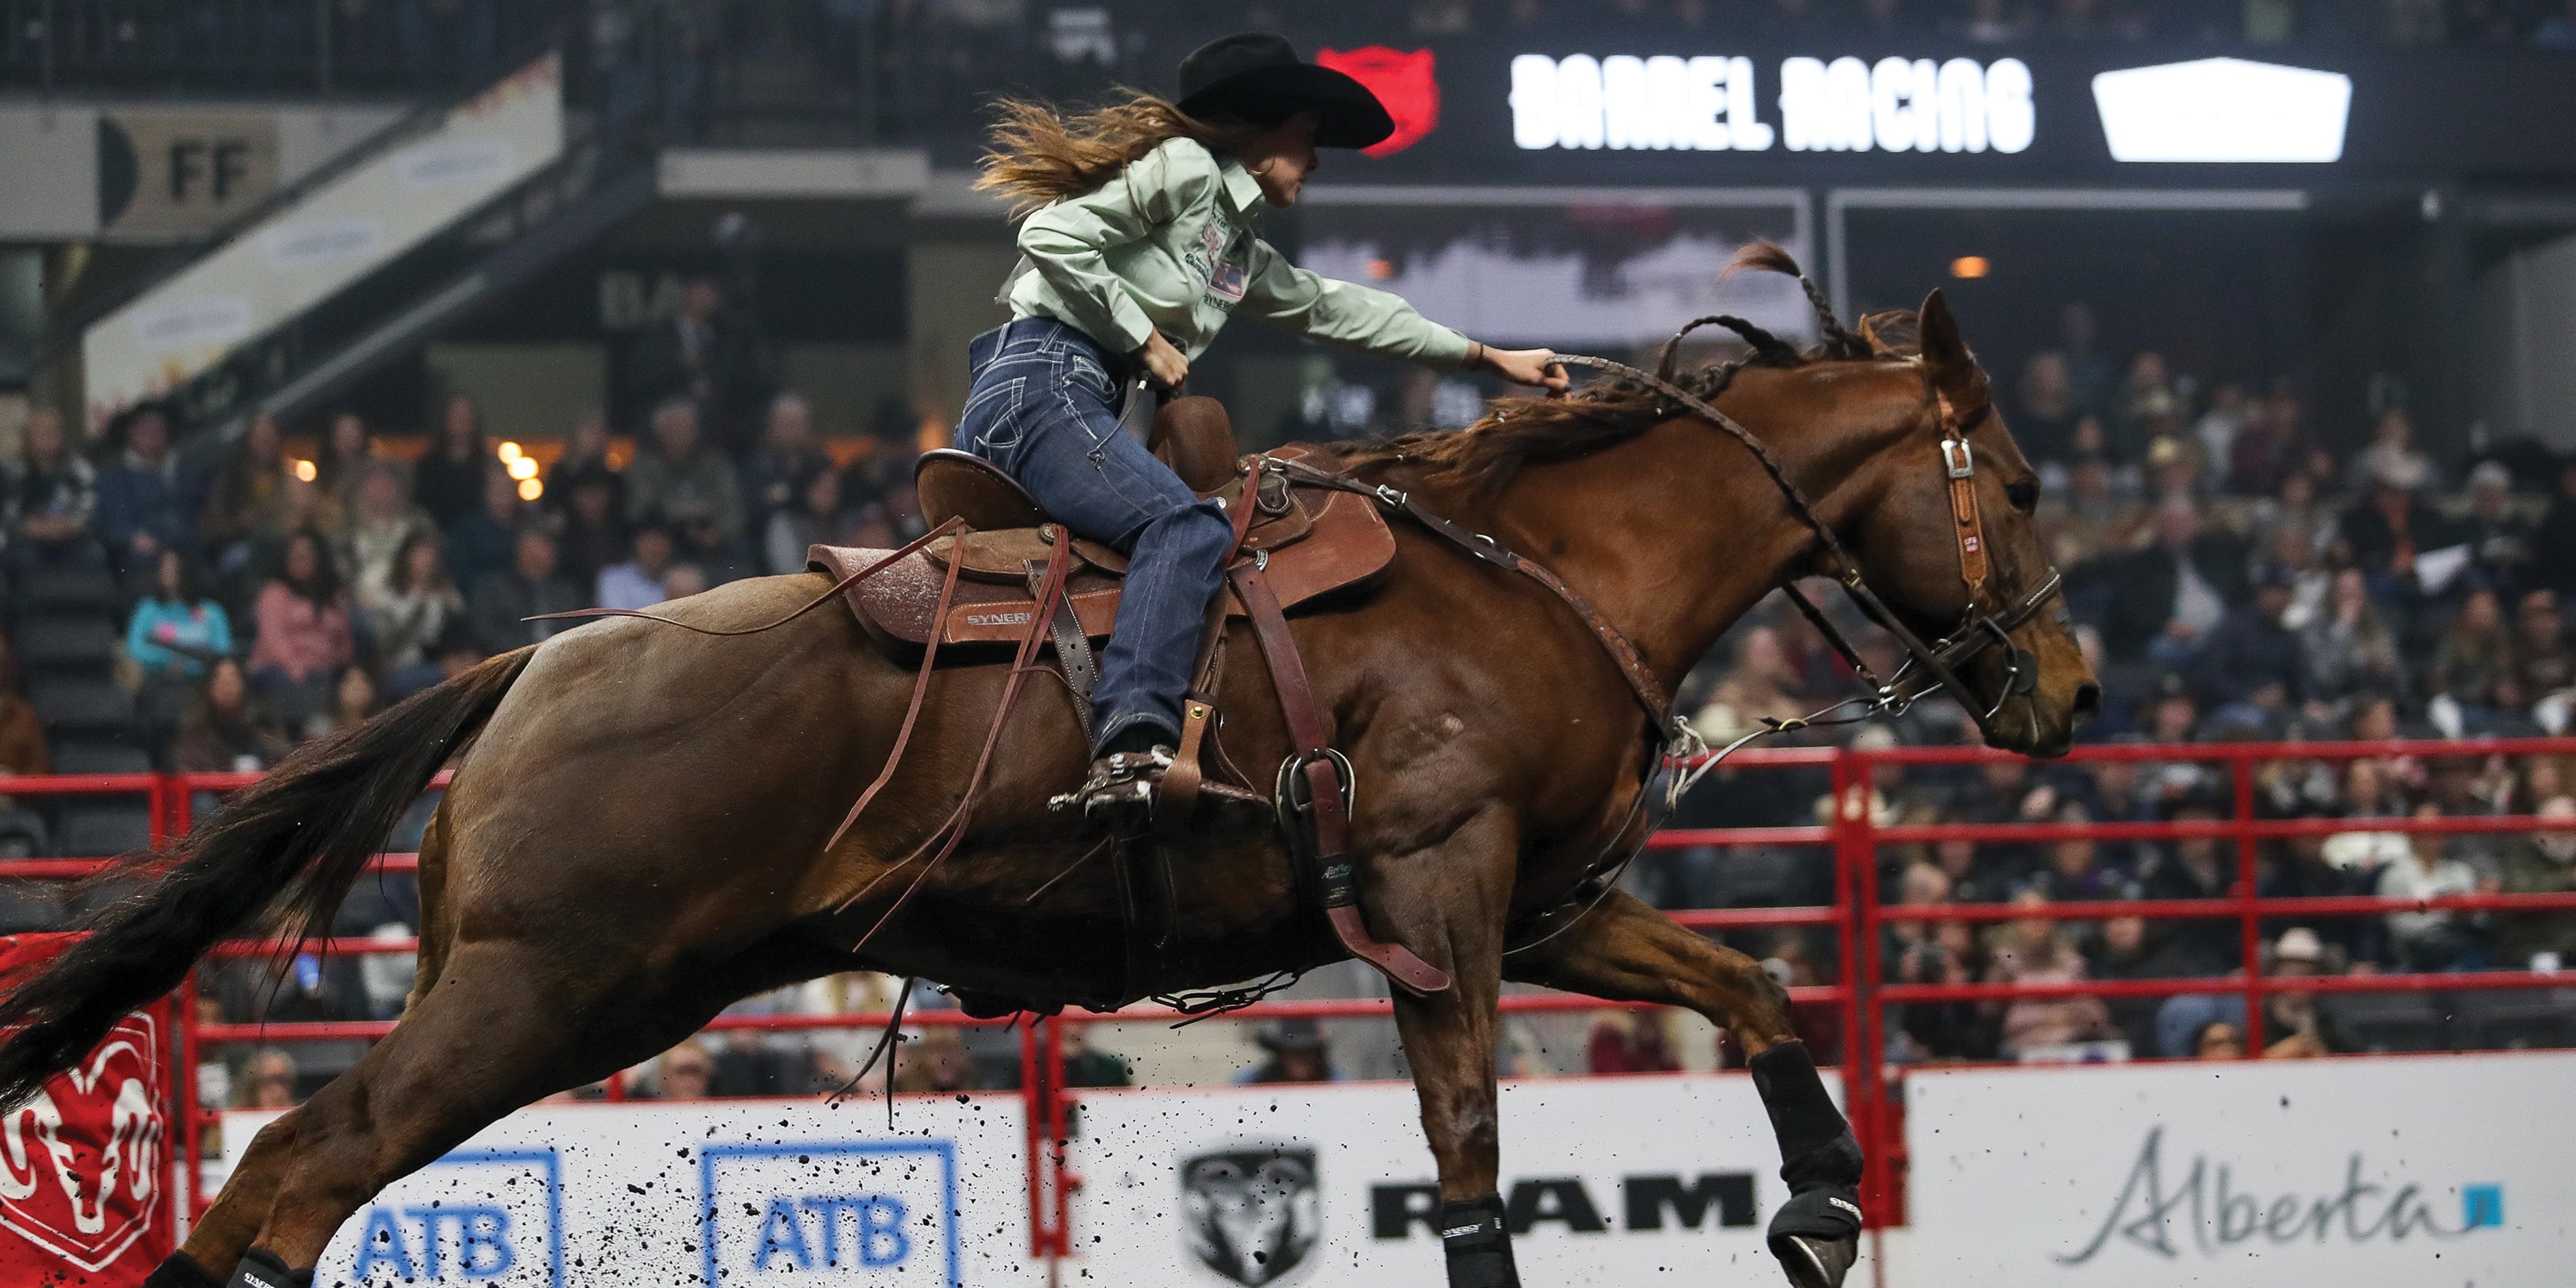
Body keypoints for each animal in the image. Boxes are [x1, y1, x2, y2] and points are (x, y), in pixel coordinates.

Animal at [0, 264, 2091, 1288]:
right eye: (2017, 477)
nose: (2066, 689)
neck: (1531, 568)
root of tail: (536, 659)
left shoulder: (1540, 898)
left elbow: (1752, 987)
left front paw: (1821, 1208)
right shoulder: (1436, 893)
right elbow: (1468, 1155)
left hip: (585, 993)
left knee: (280, 1186)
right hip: (538, 994)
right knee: (295, 1168)